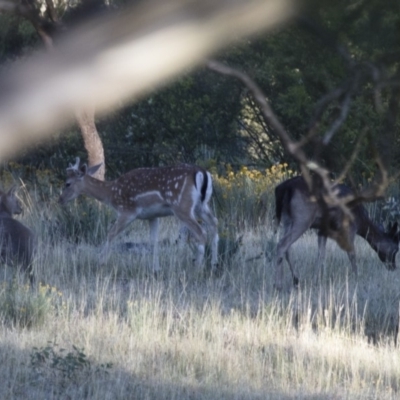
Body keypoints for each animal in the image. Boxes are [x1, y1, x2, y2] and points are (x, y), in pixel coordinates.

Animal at [58, 158, 219, 270]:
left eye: (67, 183)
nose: (60, 199)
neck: (111, 193)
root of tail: (203, 173)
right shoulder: (153, 216)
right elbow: (153, 241)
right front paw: (156, 268)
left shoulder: (127, 211)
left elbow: (111, 233)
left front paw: (100, 263)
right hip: (201, 206)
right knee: (215, 225)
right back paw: (213, 264)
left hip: (182, 206)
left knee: (201, 232)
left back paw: (197, 268)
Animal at [272, 177, 400, 290]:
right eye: (395, 249)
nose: (393, 267)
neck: (361, 222)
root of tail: (283, 188)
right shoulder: (349, 227)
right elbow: (352, 253)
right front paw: (357, 277)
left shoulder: (322, 230)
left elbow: (321, 254)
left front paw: (316, 279)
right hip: (303, 217)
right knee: (282, 244)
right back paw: (278, 285)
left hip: (287, 219)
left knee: (287, 247)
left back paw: (296, 280)